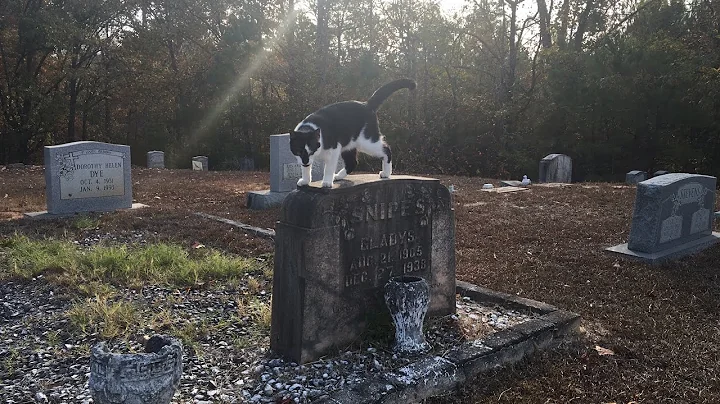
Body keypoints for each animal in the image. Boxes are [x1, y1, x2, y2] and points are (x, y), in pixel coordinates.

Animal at [288, 78, 416, 188]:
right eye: (298, 151)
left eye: (312, 150)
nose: (305, 161)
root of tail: (367, 104)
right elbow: (305, 169)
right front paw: (305, 180)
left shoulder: (333, 150)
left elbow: (328, 168)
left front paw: (327, 182)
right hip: (349, 146)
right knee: (352, 162)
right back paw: (339, 176)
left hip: (367, 142)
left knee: (386, 149)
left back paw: (386, 173)